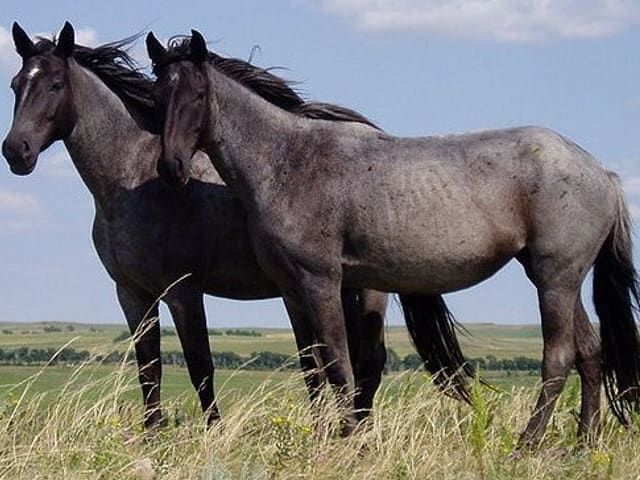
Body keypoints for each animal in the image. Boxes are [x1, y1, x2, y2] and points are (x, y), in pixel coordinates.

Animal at [2, 21, 394, 429]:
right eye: (16, 84)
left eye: (55, 85)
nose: (16, 150)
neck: (131, 179)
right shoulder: (132, 294)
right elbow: (149, 369)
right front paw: (152, 434)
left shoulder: (183, 291)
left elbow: (200, 366)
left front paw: (212, 432)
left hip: (367, 289)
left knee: (367, 363)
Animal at [146, 29, 640, 446]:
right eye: (157, 95)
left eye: (199, 95)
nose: (171, 167)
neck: (288, 162)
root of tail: (601, 172)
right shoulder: (290, 289)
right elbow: (312, 367)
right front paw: (322, 437)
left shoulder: (322, 282)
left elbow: (338, 363)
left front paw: (347, 440)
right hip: (557, 277)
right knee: (589, 352)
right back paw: (584, 442)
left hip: (555, 279)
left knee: (558, 357)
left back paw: (528, 444)